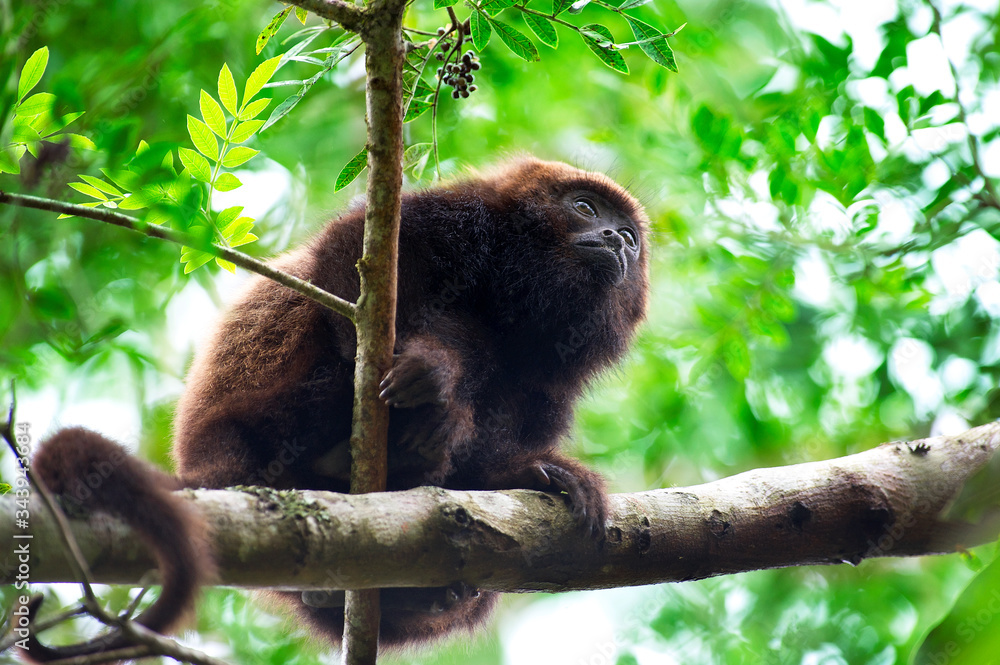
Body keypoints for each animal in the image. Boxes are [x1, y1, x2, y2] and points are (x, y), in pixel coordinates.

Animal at [23, 157, 649, 658]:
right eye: (584, 207)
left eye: (629, 235)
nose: (616, 240)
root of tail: (209, 462)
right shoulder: (469, 216)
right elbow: (354, 260)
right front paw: (431, 375)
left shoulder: (558, 378)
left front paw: (523, 471)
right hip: (273, 413)